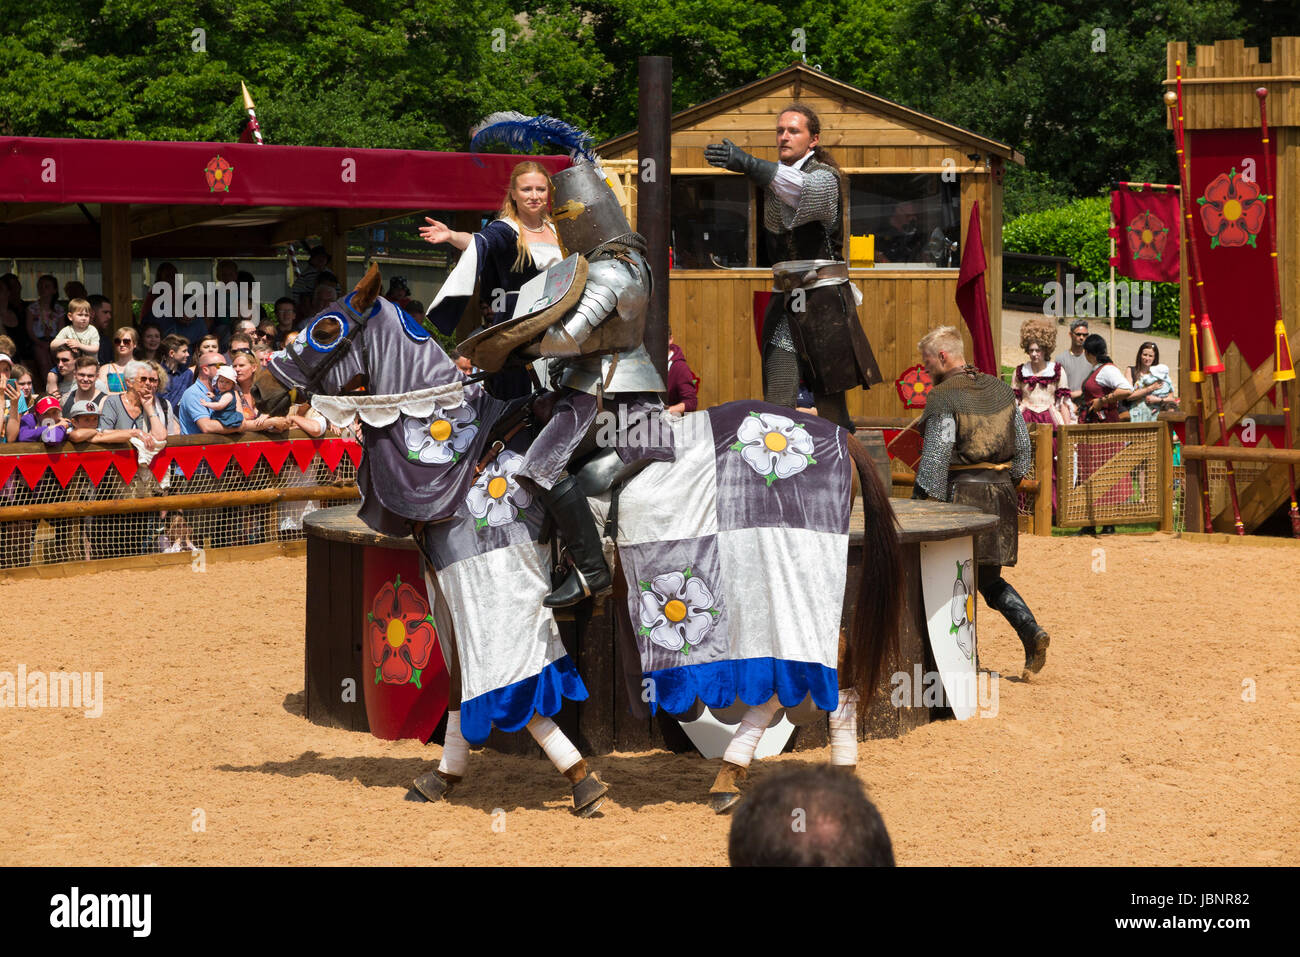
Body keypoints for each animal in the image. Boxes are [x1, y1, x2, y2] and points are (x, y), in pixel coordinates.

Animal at [257, 267, 899, 816]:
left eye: (325, 327)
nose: (263, 385)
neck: (460, 455)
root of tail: (839, 434)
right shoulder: (450, 594)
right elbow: (464, 689)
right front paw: (442, 775)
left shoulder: (496, 588)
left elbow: (515, 689)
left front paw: (581, 780)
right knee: (832, 662)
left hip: (784, 572)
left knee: (806, 670)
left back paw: (732, 774)